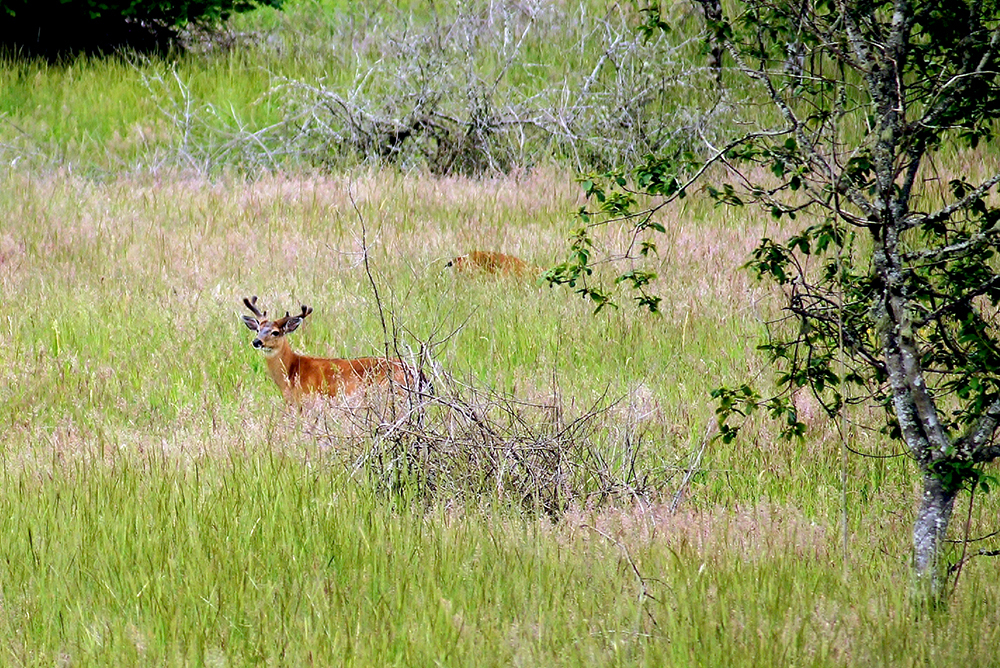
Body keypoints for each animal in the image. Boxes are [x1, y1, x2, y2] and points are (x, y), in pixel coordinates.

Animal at [240, 296, 429, 404]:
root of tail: (418, 374)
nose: (256, 342)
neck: (292, 371)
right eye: (258, 329)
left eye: (275, 332)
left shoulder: (307, 399)